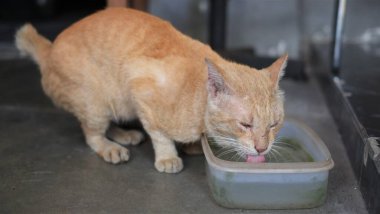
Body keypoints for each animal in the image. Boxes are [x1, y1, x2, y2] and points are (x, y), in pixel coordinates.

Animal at [16, 7, 286, 173]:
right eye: (245, 125)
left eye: (274, 125)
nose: (262, 148)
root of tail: (49, 50)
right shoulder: (139, 85)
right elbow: (159, 134)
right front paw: (168, 157)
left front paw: (192, 146)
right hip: (97, 102)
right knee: (91, 133)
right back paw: (112, 147)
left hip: (113, 106)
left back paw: (125, 135)